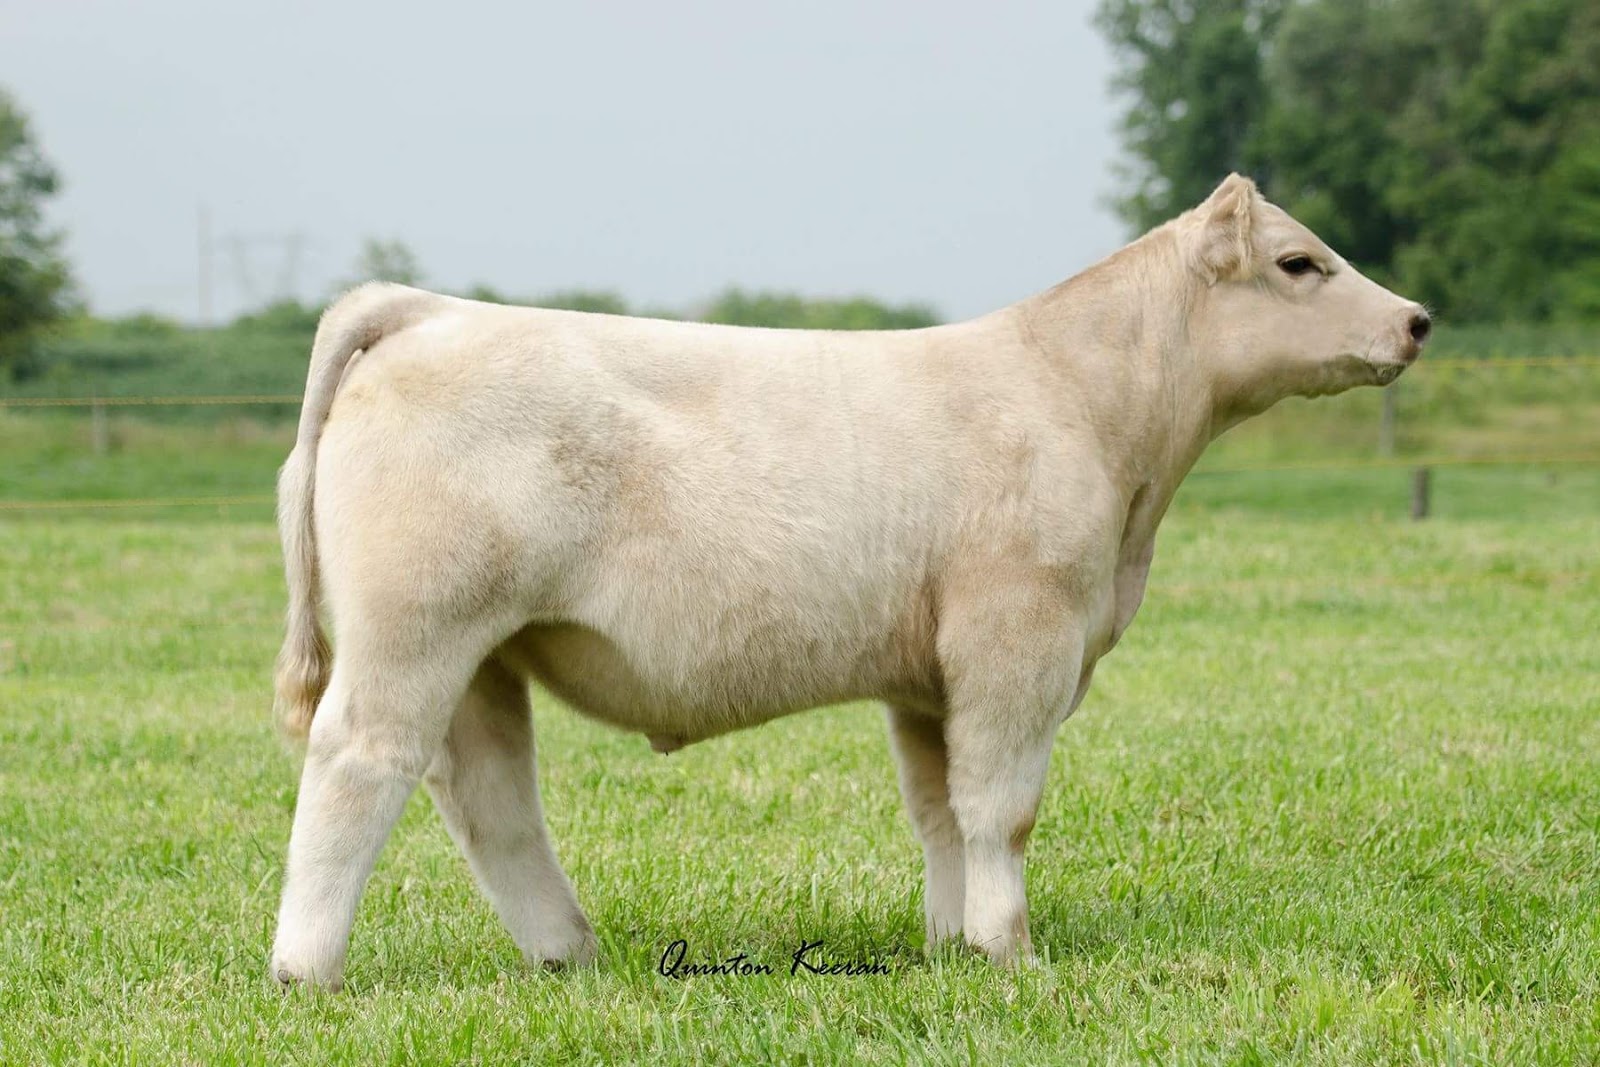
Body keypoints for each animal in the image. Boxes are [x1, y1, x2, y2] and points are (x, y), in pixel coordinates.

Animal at [267, 174, 1430, 989]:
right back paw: (306, 970)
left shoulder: (927, 677)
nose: (1418, 319)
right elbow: (1002, 805)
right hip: (416, 628)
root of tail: (433, 310)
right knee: (358, 760)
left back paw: (569, 954)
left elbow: (941, 809)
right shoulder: (1019, 637)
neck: (1090, 413)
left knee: (489, 796)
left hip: (483, 651)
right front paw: (1012, 951)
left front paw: (953, 944)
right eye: (1299, 262)